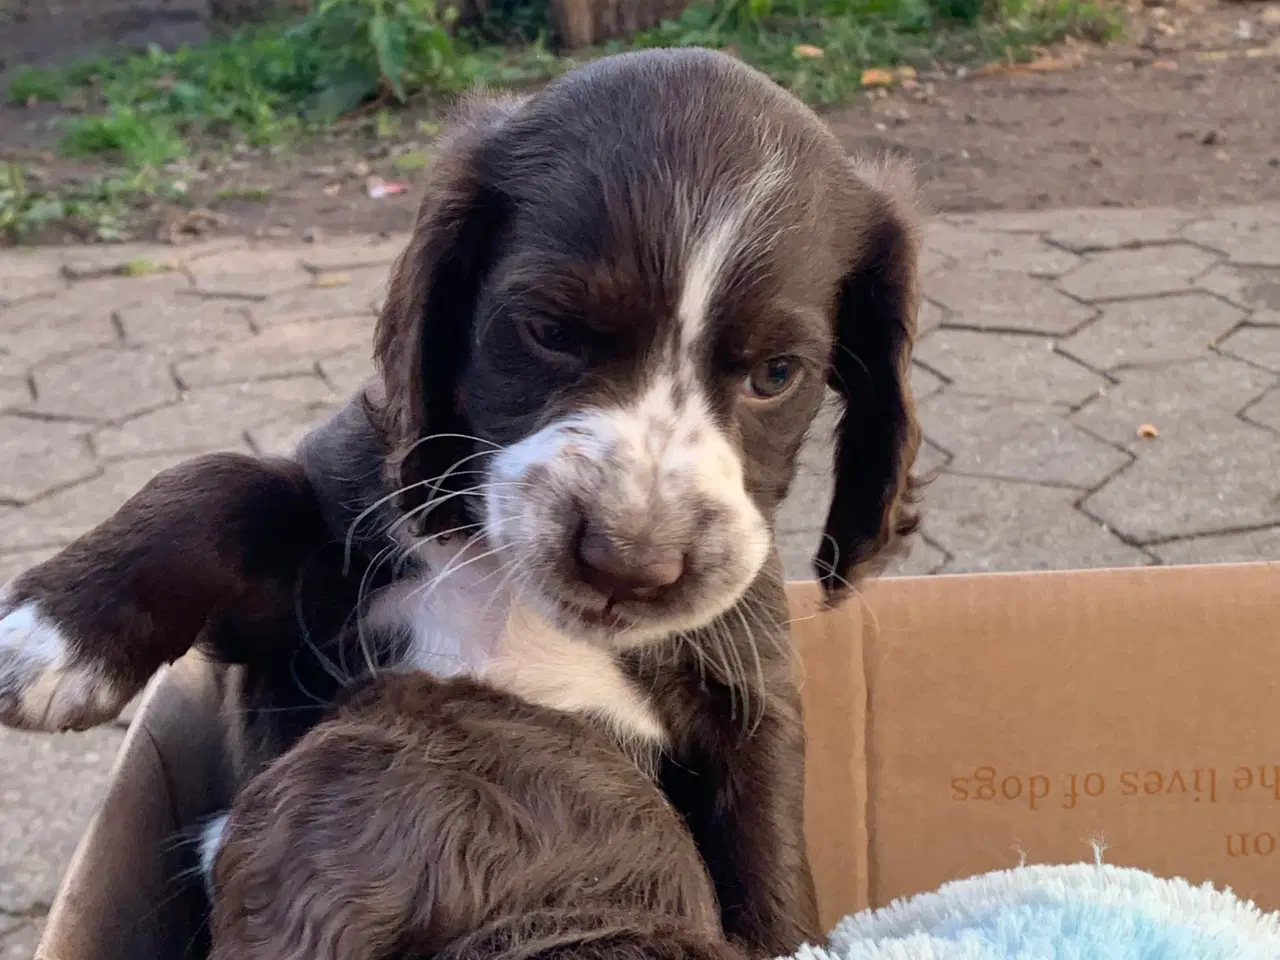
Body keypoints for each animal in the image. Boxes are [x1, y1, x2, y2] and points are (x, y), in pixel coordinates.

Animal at [0, 47, 926, 960]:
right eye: (549, 330)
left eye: (776, 374)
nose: (629, 563)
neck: (513, 594)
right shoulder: (306, 608)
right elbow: (225, 484)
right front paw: (54, 633)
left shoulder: (748, 690)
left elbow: (765, 859)